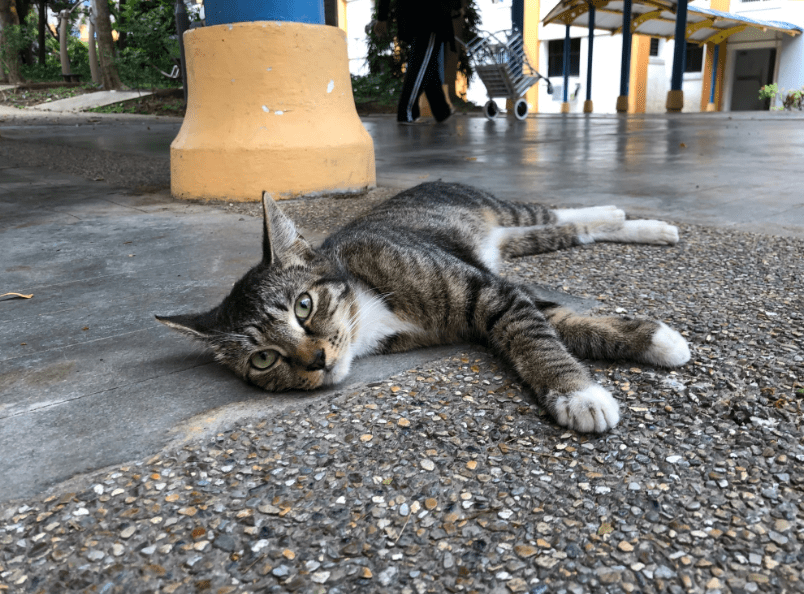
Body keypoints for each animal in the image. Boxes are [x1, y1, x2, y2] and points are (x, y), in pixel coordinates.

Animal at [159, 180, 692, 430]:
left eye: (303, 306)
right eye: (264, 359)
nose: (317, 361)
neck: (370, 306)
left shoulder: (491, 292)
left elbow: (535, 337)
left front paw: (578, 395)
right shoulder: (501, 293)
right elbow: (560, 321)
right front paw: (655, 342)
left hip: (502, 214)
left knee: (560, 214)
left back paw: (632, 217)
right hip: (515, 242)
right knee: (569, 231)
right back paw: (638, 224)